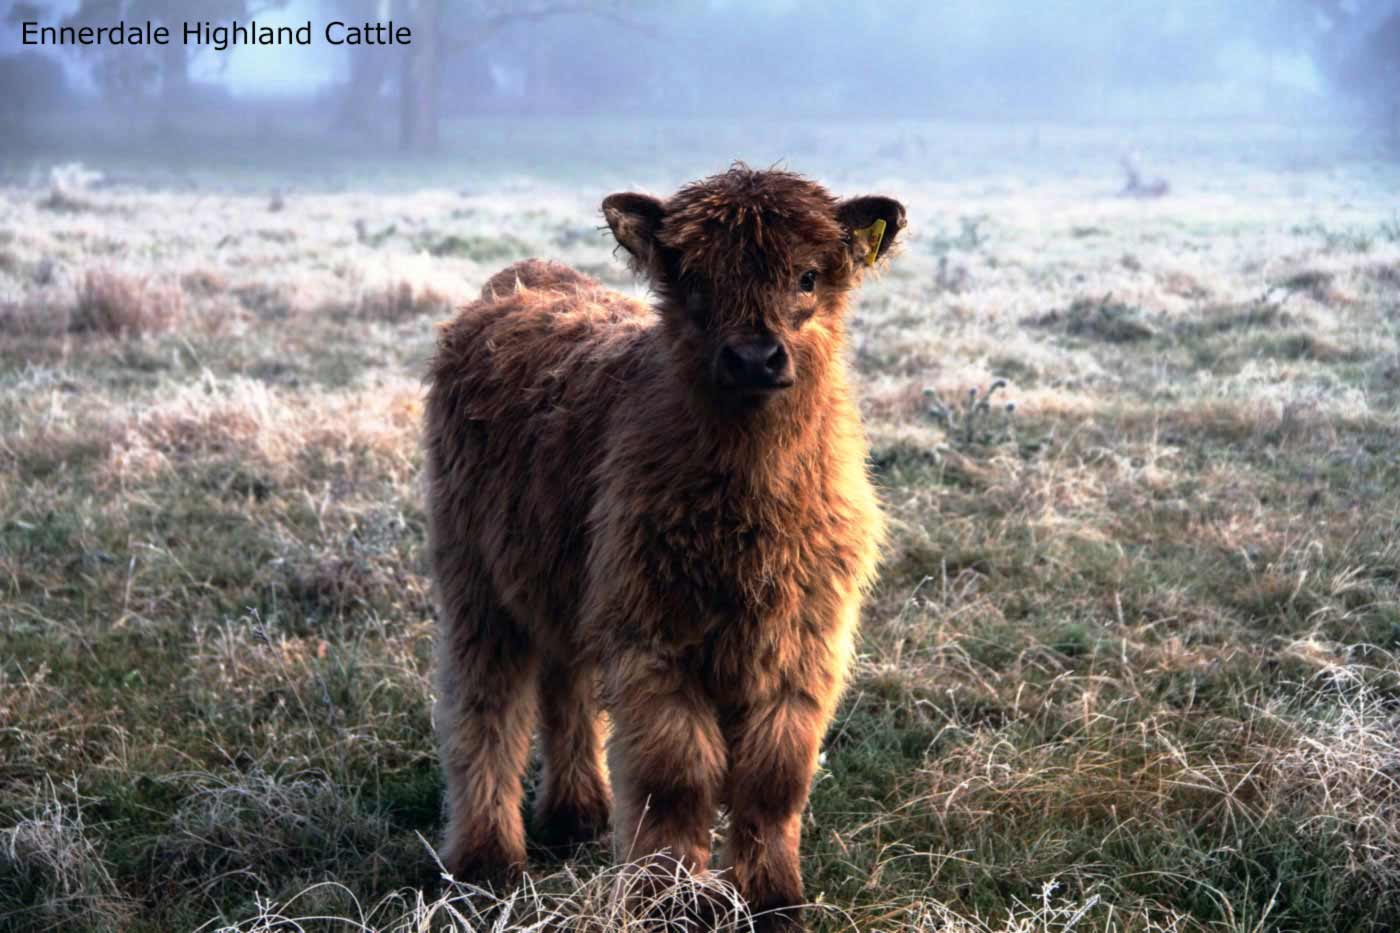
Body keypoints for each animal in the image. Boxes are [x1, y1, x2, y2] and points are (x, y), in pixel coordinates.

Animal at [425, 165, 907, 924]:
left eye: (807, 276)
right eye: (696, 280)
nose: (753, 356)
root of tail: (523, 278)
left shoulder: (806, 644)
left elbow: (774, 779)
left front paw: (774, 900)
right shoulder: (653, 641)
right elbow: (677, 778)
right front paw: (665, 899)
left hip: (566, 580)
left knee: (566, 687)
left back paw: (577, 812)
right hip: (475, 577)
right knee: (486, 707)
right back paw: (486, 859)